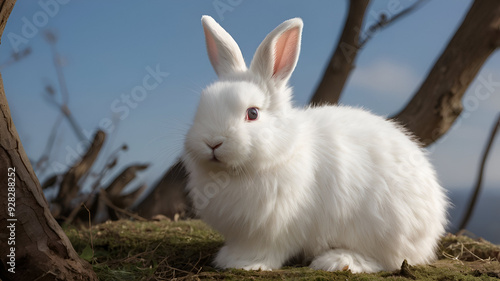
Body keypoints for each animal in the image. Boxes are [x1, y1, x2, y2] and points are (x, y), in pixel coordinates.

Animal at [184, 14, 450, 272]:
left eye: (252, 113)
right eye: (201, 106)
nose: (212, 143)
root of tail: (432, 230)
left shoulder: (274, 230)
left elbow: (265, 251)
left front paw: (243, 263)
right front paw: (228, 256)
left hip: (385, 229)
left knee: (387, 261)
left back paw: (338, 261)